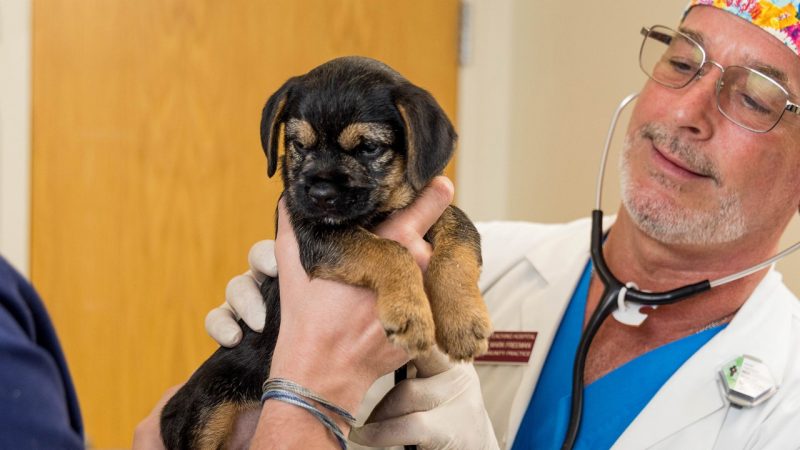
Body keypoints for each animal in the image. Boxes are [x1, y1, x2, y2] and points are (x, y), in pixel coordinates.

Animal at [159, 56, 490, 450]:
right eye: (298, 144)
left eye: (368, 148)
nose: (319, 194)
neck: (377, 213)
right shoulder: (318, 235)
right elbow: (389, 249)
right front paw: (409, 311)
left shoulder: (437, 211)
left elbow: (460, 235)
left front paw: (464, 320)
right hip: (206, 408)